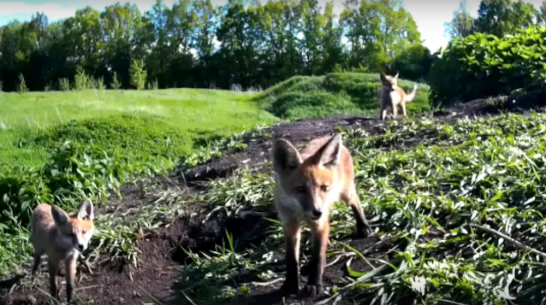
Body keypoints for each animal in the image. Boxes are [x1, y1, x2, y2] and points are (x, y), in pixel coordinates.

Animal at [270, 132, 372, 296]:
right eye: (300, 189)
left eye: (324, 188)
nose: (317, 211)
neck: (301, 213)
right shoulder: (289, 225)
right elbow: (290, 258)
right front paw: (290, 284)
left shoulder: (319, 224)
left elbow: (317, 257)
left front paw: (314, 284)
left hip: (346, 194)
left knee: (356, 202)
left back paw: (363, 226)